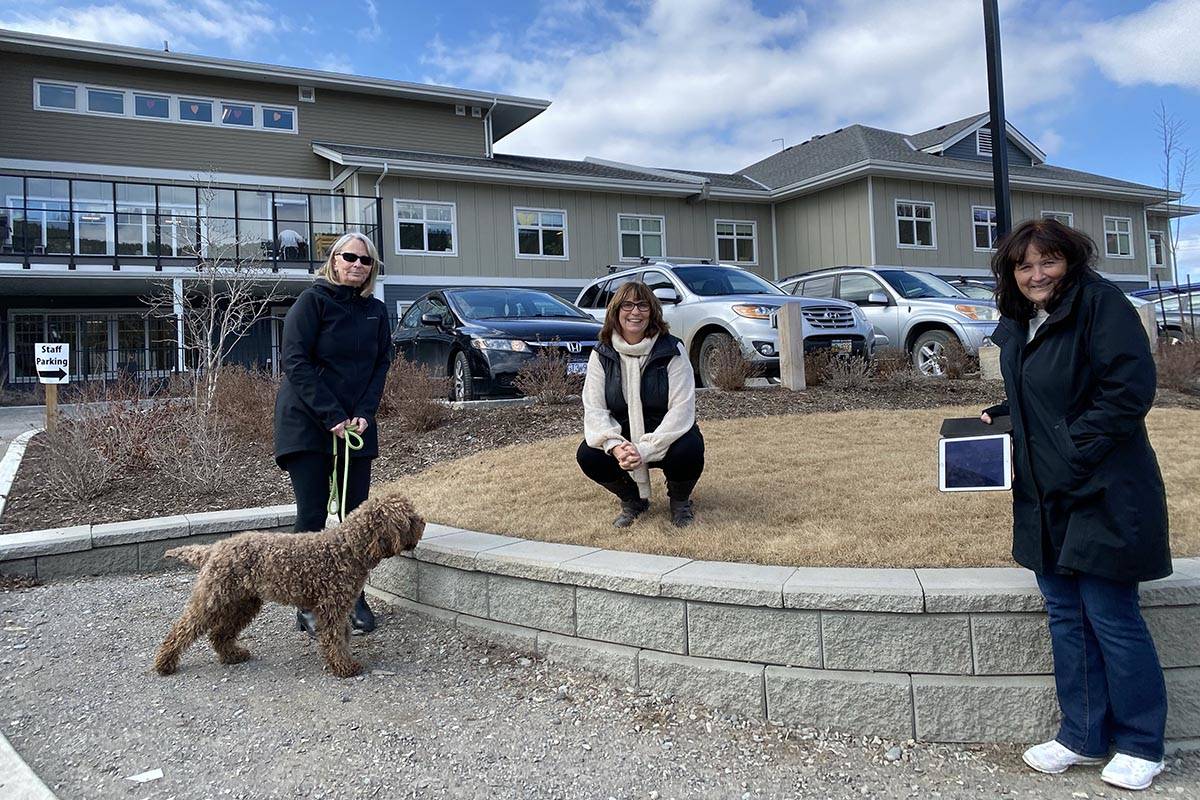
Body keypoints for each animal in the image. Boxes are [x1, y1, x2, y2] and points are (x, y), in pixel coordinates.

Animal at [152, 491, 422, 681]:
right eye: (408, 518)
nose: (422, 522)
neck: (347, 548)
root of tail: (215, 548)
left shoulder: (340, 608)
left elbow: (342, 636)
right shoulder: (331, 609)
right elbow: (335, 639)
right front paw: (344, 667)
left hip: (243, 603)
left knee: (219, 634)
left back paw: (233, 655)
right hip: (213, 599)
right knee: (183, 629)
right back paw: (164, 663)